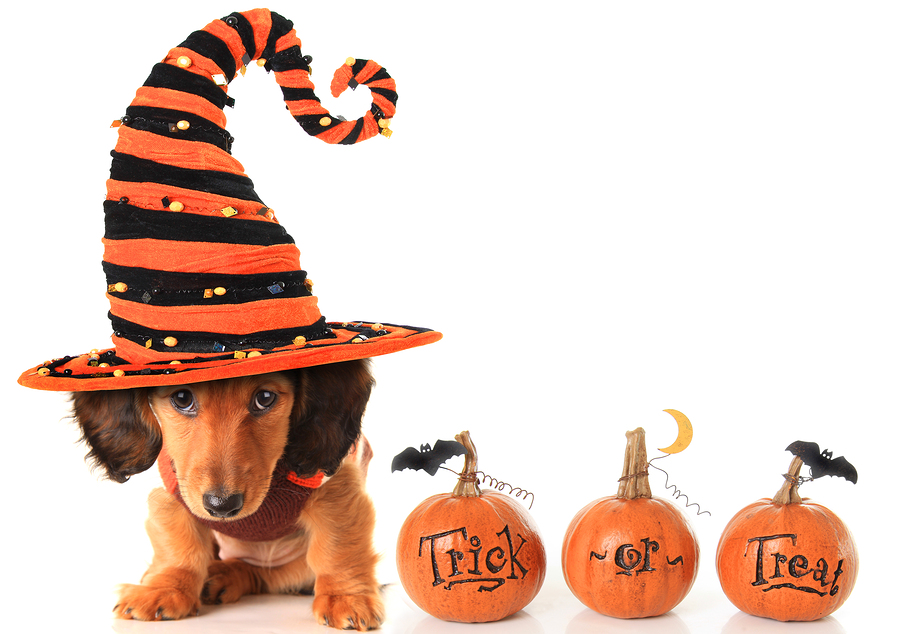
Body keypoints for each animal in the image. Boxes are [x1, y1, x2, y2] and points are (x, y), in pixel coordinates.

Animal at [70, 358, 380, 628]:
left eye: (264, 397)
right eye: (182, 398)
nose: (222, 506)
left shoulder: (337, 493)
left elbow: (337, 549)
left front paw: (345, 597)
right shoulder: (174, 491)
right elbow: (178, 546)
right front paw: (166, 588)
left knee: (267, 574)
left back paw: (226, 576)